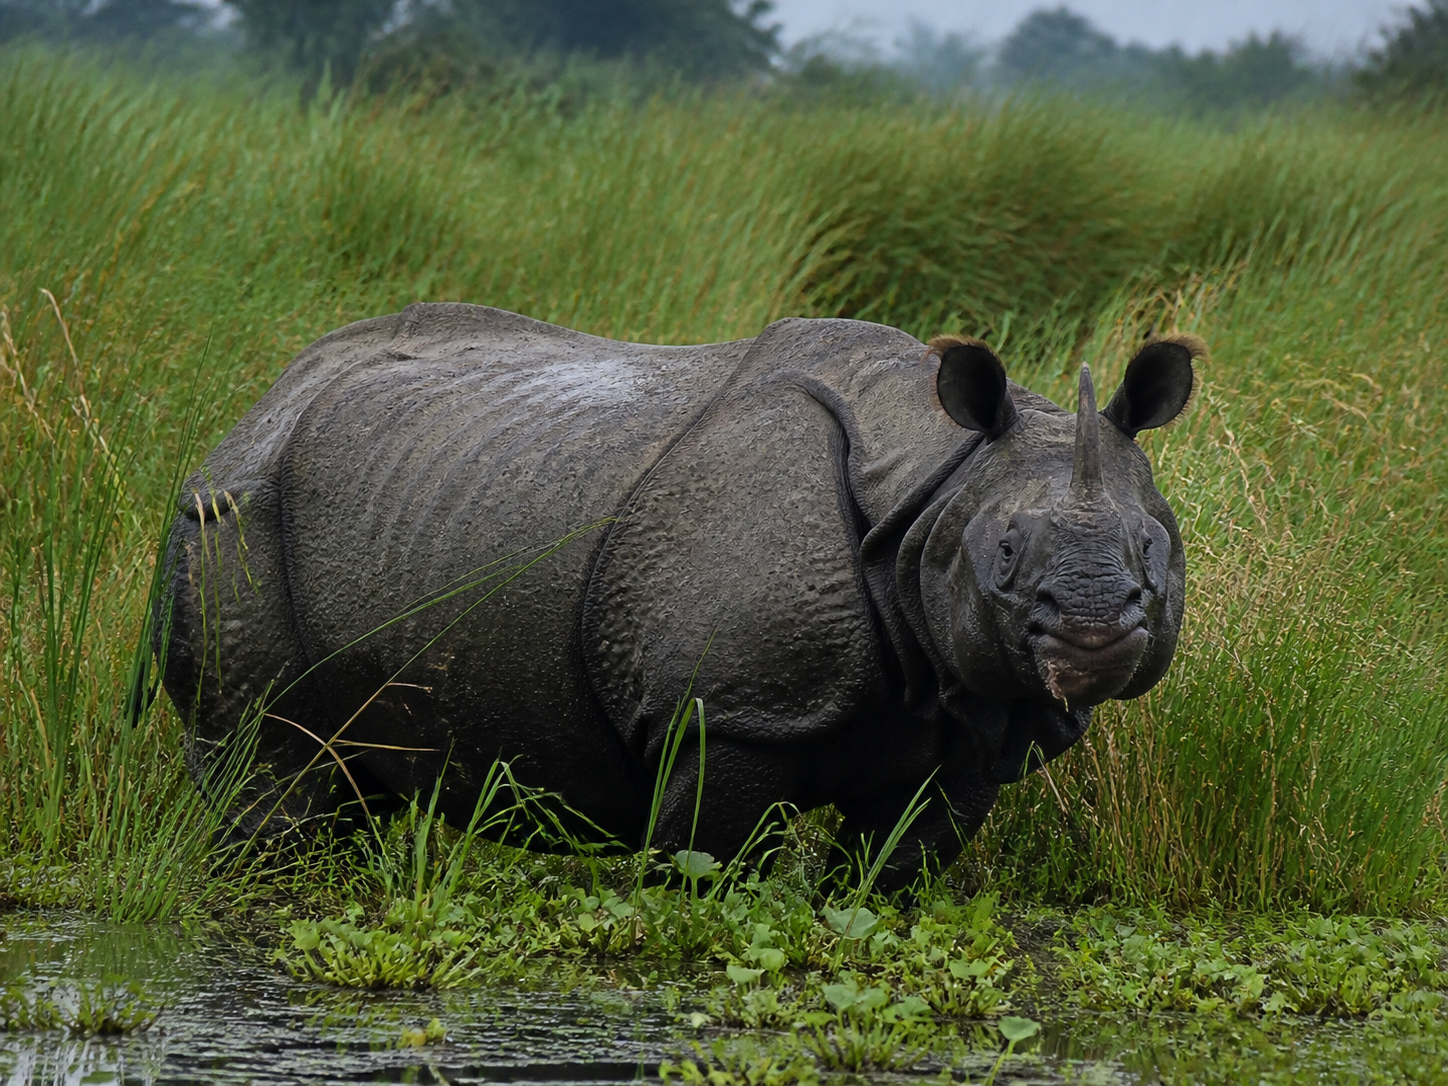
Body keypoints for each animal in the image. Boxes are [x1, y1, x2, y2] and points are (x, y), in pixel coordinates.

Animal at [154, 303, 1199, 891]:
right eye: (1007, 552)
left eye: (1158, 547)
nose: (1095, 634)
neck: (938, 489)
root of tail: (261, 402)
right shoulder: (728, 709)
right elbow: (704, 865)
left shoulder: (979, 715)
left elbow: (897, 871)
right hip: (233, 516)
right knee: (272, 767)